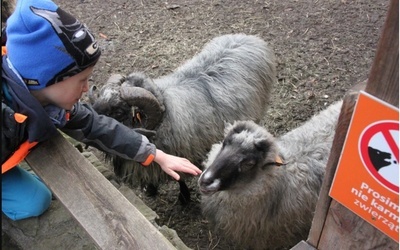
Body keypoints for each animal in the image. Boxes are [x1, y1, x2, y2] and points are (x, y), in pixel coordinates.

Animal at [90, 33, 278, 202]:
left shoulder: (183, 152)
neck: (165, 117)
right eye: (99, 99)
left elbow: (179, 177)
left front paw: (184, 197)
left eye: (118, 112)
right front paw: (151, 189)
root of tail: (247, 37)